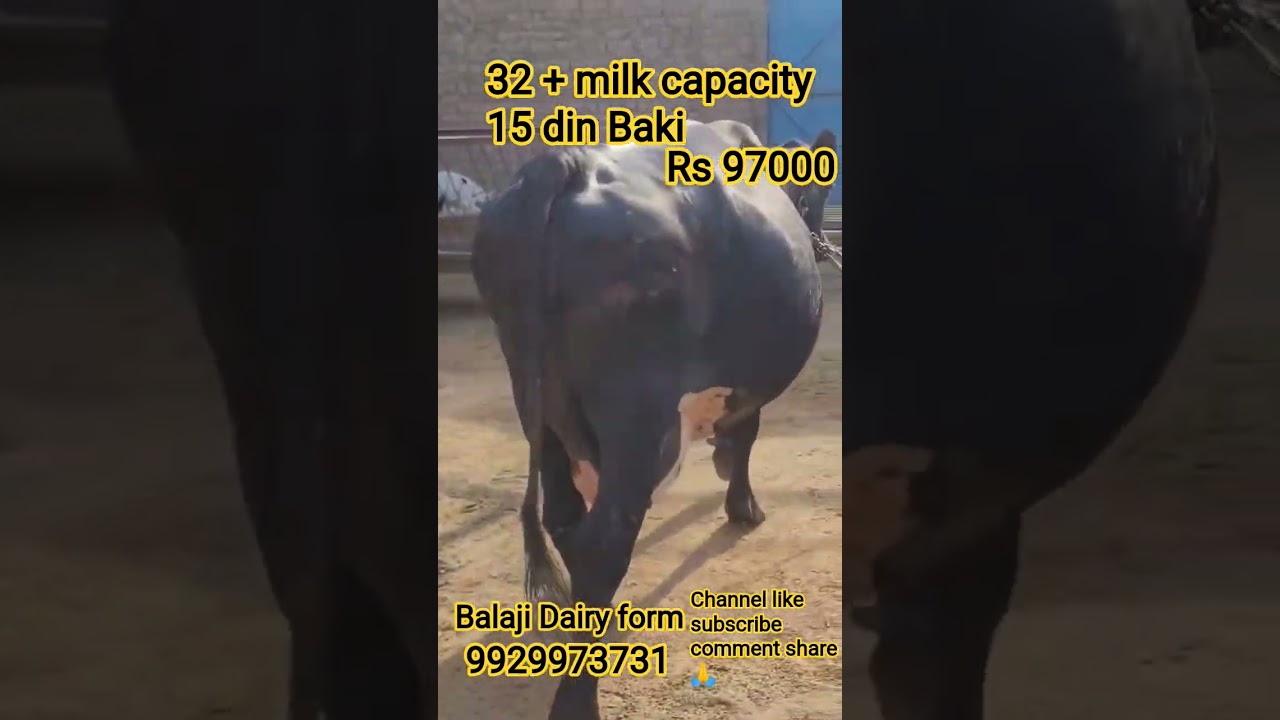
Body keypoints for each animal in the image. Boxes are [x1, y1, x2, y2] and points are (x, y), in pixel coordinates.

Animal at [470, 119, 837, 720]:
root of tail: (565, 164)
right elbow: (748, 432)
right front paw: (743, 506)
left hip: (534, 396)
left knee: (564, 518)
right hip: (640, 415)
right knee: (605, 540)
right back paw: (577, 699)